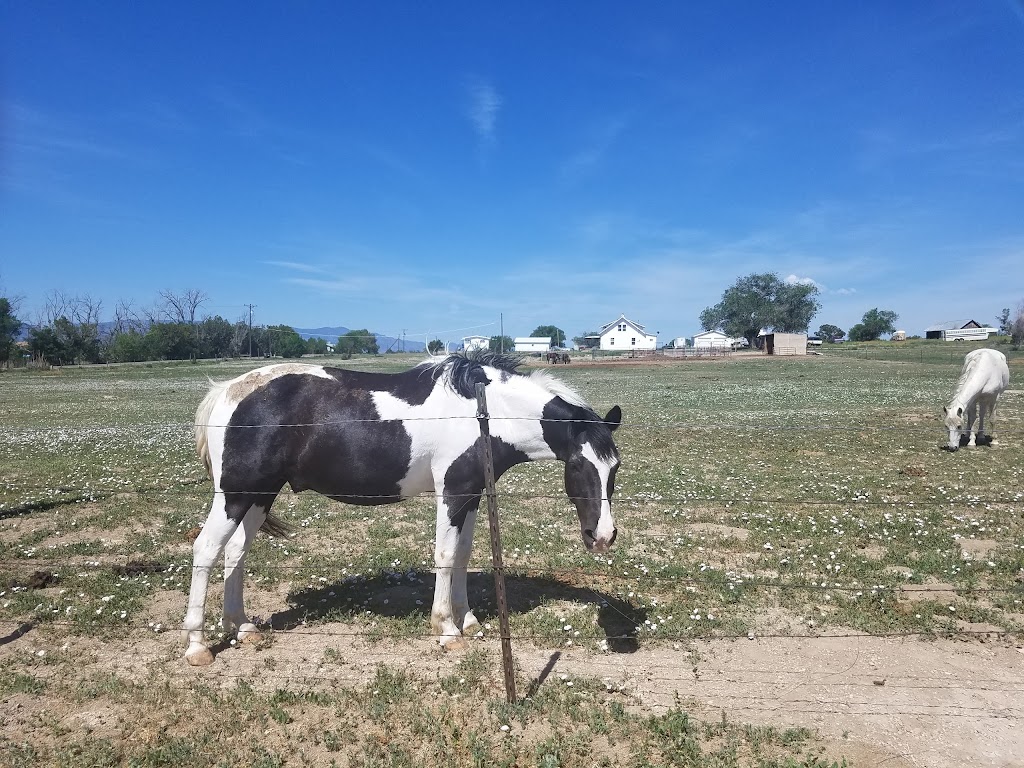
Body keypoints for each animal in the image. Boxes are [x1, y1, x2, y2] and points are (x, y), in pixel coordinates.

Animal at [184, 352, 622, 663]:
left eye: (614, 466)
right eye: (578, 465)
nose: (602, 536)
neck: (486, 410)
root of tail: (227, 390)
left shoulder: (471, 495)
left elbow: (463, 555)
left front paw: (468, 620)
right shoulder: (452, 493)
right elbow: (445, 556)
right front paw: (447, 631)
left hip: (259, 494)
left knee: (235, 552)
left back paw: (243, 627)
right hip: (236, 494)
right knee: (206, 550)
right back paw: (197, 647)